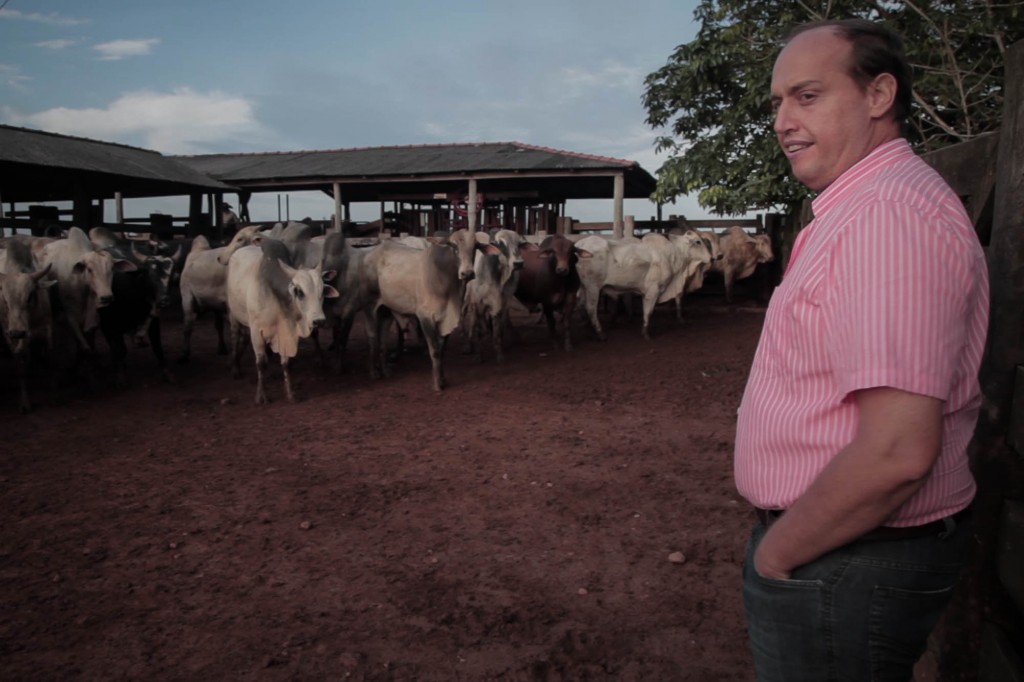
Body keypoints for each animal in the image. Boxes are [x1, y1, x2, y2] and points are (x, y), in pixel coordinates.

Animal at [226, 237, 337, 401]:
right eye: (299, 291)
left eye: (322, 291)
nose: (319, 321)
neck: (276, 295)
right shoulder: (256, 331)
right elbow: (261, 363)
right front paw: (261, 396)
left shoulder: (285, 331)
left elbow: (286, 363)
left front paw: (290, 393)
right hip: (234, 315)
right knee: (234, 337)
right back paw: (235, 368)